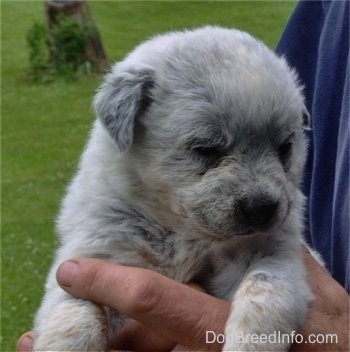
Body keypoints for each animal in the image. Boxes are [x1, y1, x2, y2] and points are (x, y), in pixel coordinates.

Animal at [32, 26, 312, 350]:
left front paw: (250, 343)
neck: (180, 232)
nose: (262, 208)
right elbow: (75, 314)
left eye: (285, 147)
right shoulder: (92, 259)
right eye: (207, 148)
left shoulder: (276, 253)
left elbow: (266, 289)